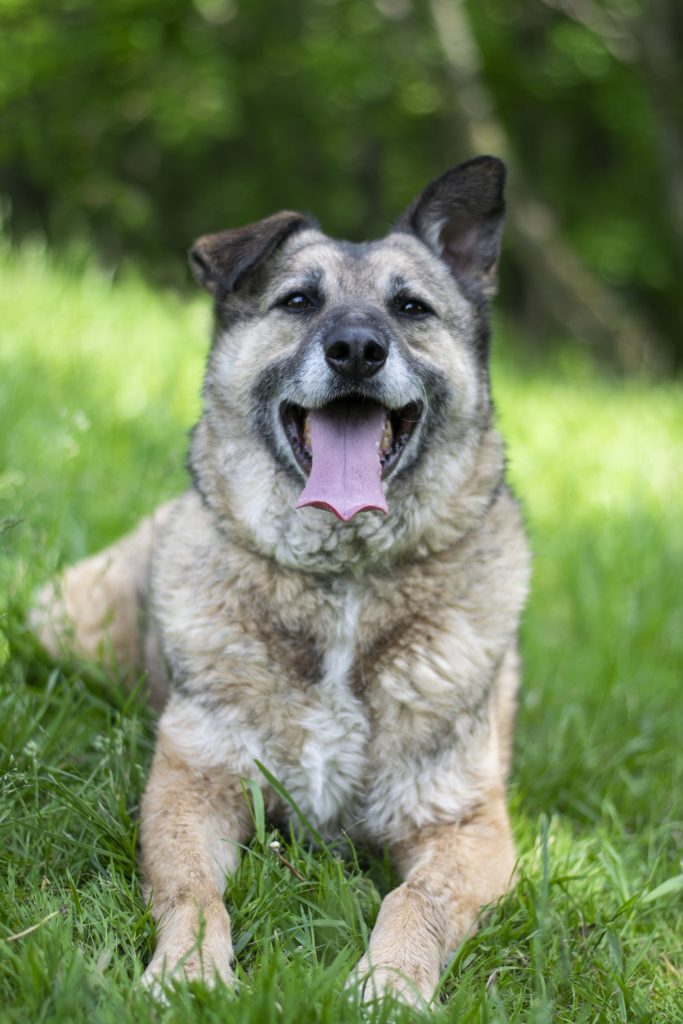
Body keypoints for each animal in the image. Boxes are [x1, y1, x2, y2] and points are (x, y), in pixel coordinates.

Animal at [31, 157, 532, 1007]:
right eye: (299, 301)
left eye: (410, 307)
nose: (357, 349)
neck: (342, 578)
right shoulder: (193, 789)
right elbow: (195, 893)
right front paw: (189, 973)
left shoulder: (465, 829)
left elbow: (415, 900)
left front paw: (389, 984)